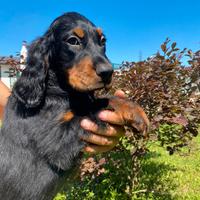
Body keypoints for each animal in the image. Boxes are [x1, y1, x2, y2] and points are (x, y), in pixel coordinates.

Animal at [0, 12, 149, 200]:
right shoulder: (56, 141)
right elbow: (91, 109)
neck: (58, 89)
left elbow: (101, 99)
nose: (108, 72)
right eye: (73, 40)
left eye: (103, 41)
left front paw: (135, 111)